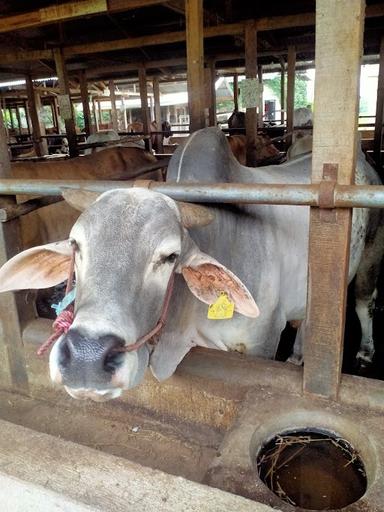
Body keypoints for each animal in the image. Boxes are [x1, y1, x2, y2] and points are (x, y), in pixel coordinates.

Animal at [0, 128, 380, 400]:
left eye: (170, 257)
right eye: (76, 245)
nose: (86, 358)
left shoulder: (262, 342)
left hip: (371, 253)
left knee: (361, 302)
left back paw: (363, 350)